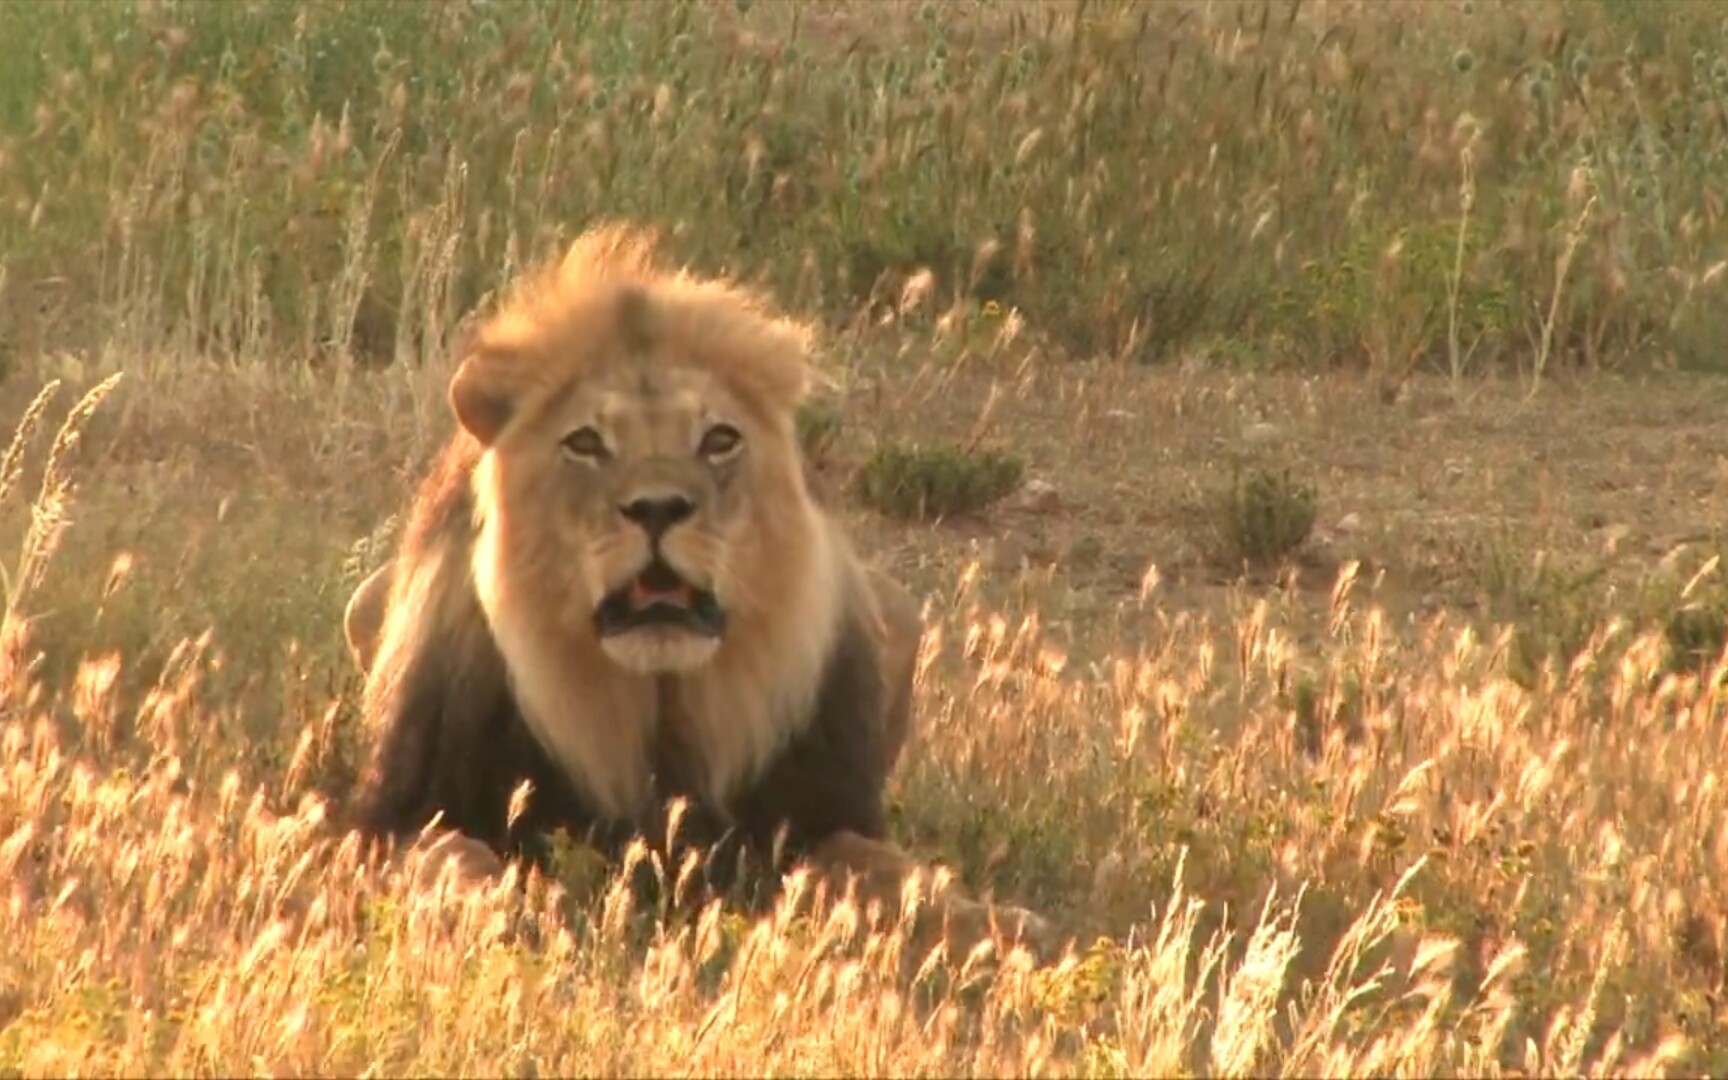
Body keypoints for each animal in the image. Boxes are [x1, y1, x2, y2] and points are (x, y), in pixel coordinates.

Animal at [330, 222, 1043, 953]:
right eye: (585, 442)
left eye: (719, 439)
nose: (657, 507)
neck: (657, 705)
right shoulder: (399, 812)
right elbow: (449, 856)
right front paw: (497, 914)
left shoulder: (813, 815)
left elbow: (892, 869)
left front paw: (999, 926)